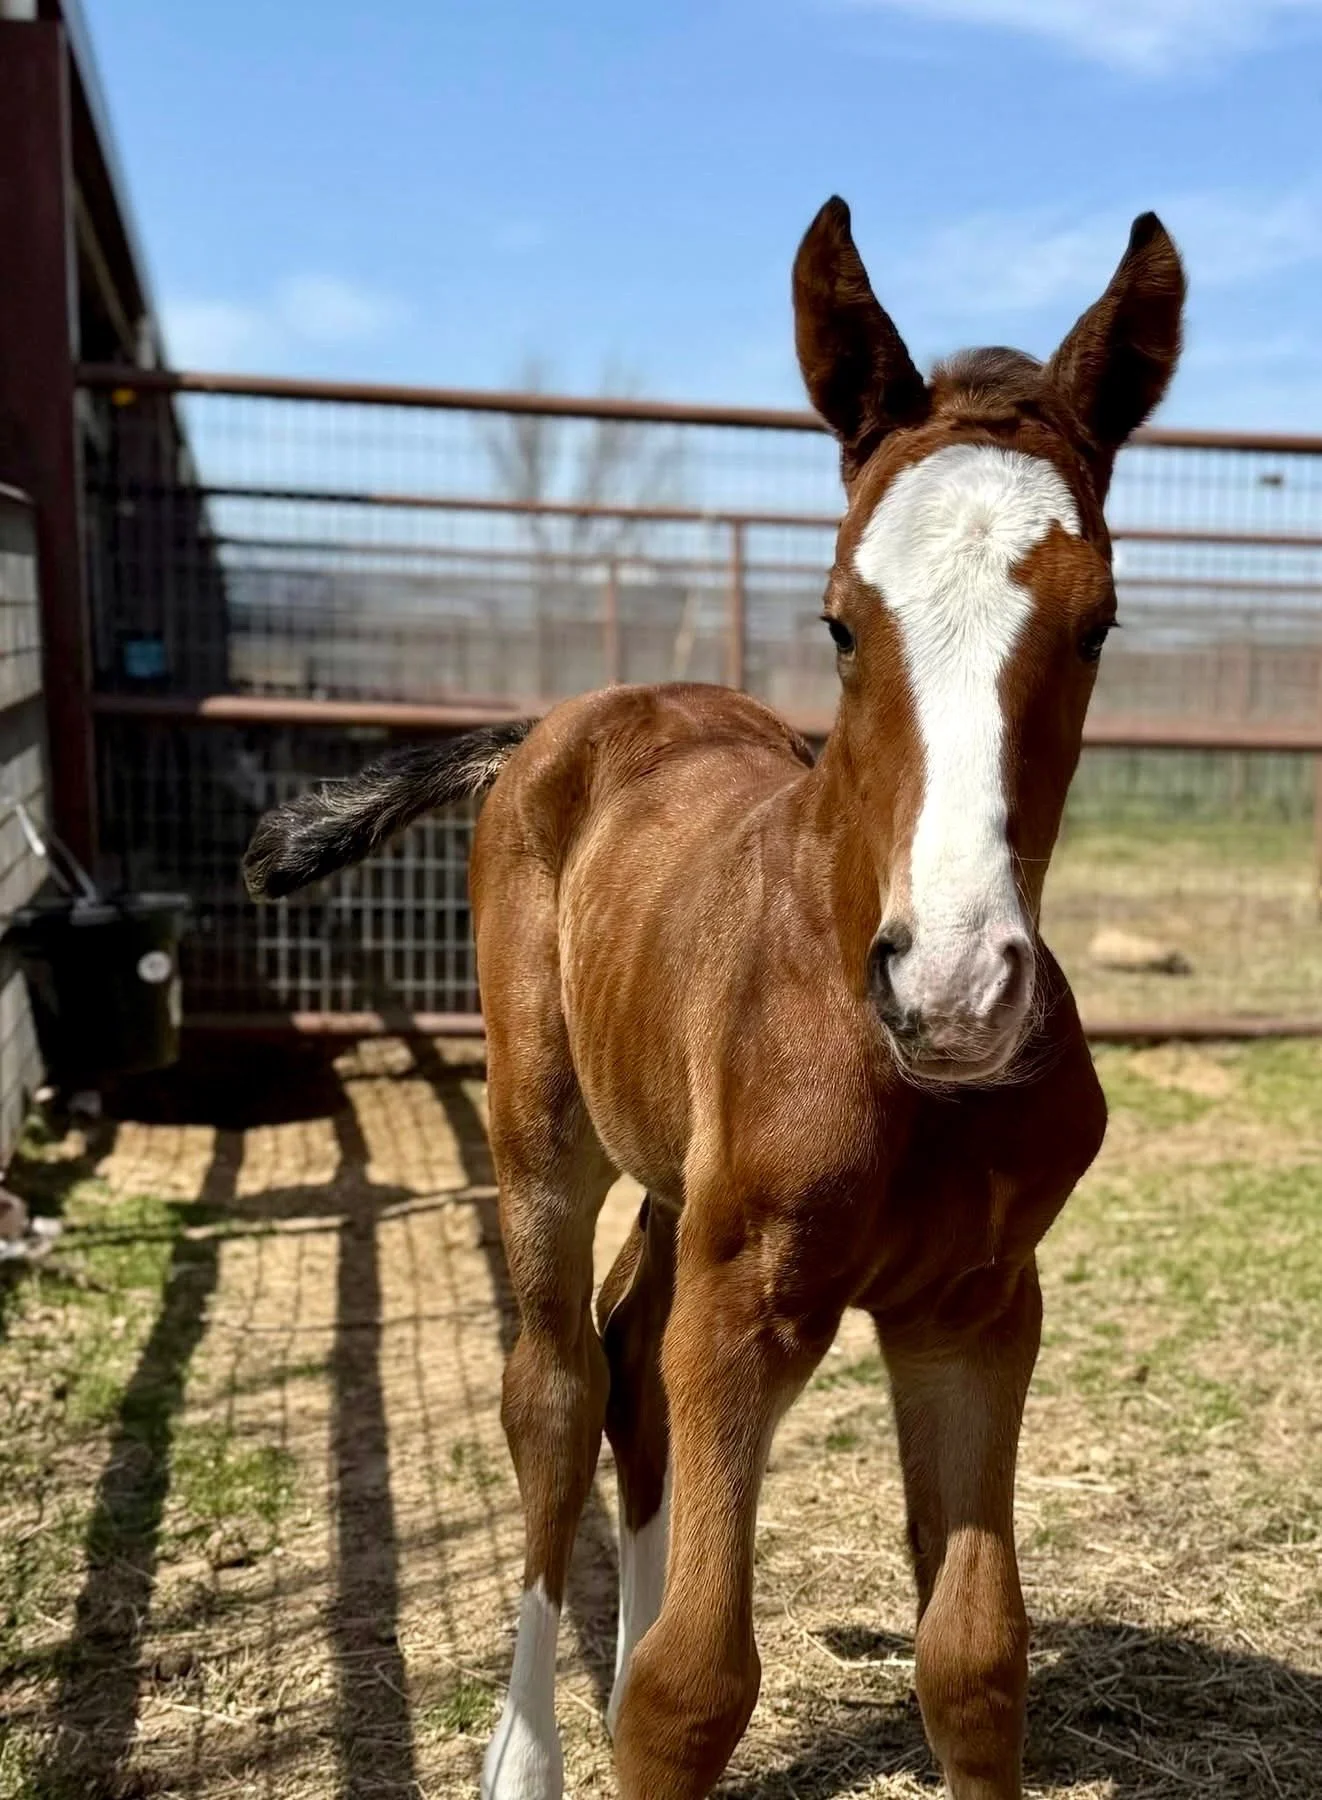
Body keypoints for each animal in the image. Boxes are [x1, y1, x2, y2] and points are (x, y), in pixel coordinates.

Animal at [244, 196, 1185, 1800]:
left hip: (677, 1176)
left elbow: (972, 1661)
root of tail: (550, 727)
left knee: (628, 1367)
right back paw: (525, 1754)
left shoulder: (976, 1309)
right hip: (541, 1125)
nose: (953, 988)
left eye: (1100, 624)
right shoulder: (746, 1305)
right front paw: (629, 1707)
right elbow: (688, 1692)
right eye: (840, 623)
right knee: (558, 1388)